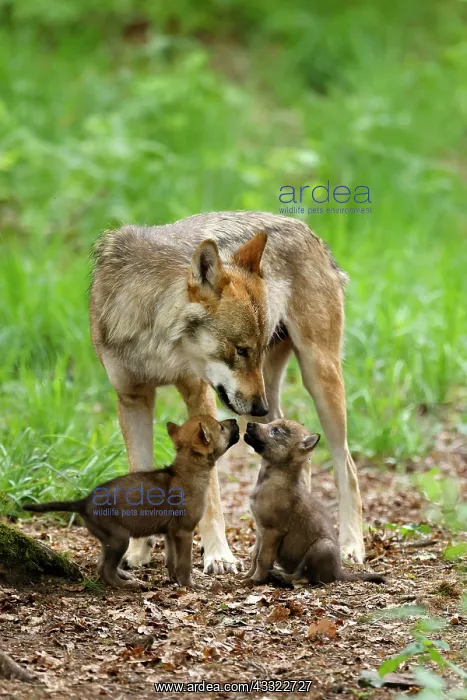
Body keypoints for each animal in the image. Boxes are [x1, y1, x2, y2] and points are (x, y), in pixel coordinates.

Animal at [24, 416, 239, 588]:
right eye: (221, 427)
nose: (235, 420)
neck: (187, 469)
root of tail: (83, 502)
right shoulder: (184, 532)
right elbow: (184, 563)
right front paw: (190, 585)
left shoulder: (170, 533)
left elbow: (171, 561)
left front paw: (173, 580)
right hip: (120, 538)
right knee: (104, 569)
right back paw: (128, 584)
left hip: (109, 540)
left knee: (102, 564)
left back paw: (125, 576)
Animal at [89, 211, 365, 574]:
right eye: (242, 350)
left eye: (254, 350)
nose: (259, 409)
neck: (152, 330)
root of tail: (306, 229)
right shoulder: (133, 401)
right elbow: (139, 474)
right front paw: (137, 553)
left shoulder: (199, 395)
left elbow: (212, 493)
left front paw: (219, 555)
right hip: (267, 405)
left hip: (317, 379)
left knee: (347, 465)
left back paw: (351, 546)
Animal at [244, 419, 385, 586]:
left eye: (276, 430)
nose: (249, 424)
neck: (272, 477)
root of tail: (338, 572)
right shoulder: (260, 531)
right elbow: (254, 555)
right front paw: (248, 575)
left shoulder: (273, 530)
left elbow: (262, 558)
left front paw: (256, 579)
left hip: (320, 547)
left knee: (304, 576)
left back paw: (282, 577)